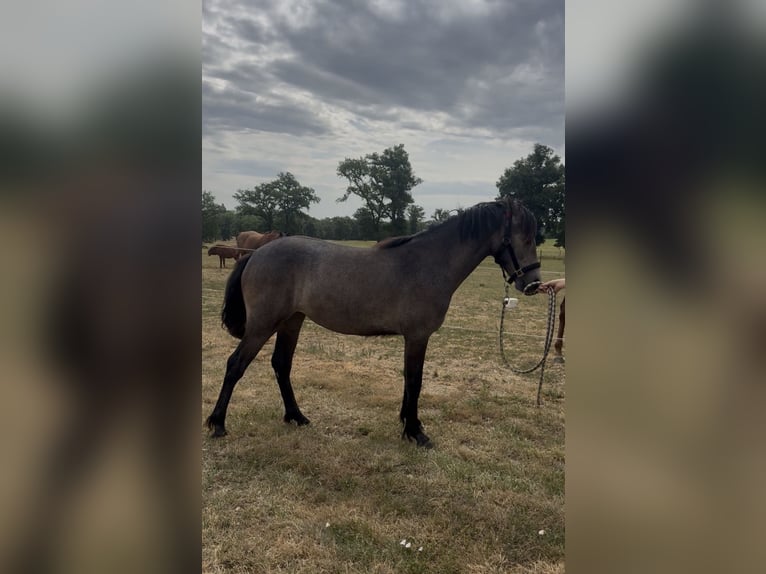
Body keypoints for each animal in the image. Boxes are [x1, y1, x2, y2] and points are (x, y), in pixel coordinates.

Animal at [206, 198, 541, 448]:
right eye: (525, 237)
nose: (534, 284)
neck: (428, 263)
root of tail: (256, 253)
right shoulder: (418, 336)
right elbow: (415, 381)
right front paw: (416, 432)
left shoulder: (412, 338)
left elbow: (408, 380)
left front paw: (407, 425)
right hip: (262, 325)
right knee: (236, 365)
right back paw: (218, 424)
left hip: (291, 321)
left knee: (281, 365)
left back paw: (296, 417)